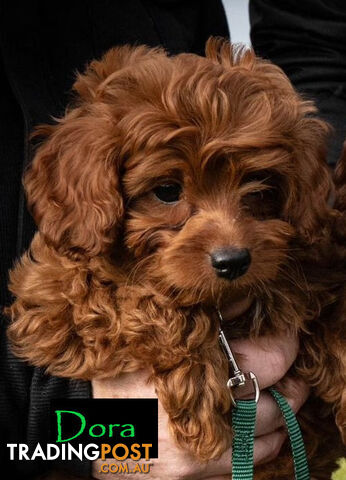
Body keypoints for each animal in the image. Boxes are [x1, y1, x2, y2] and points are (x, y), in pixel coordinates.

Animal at [5, 39, 346, 478]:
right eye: (167, 190)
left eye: (258, 186)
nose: (233, 261)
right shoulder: (50, 301)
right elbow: (134, 297)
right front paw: (197, 385)